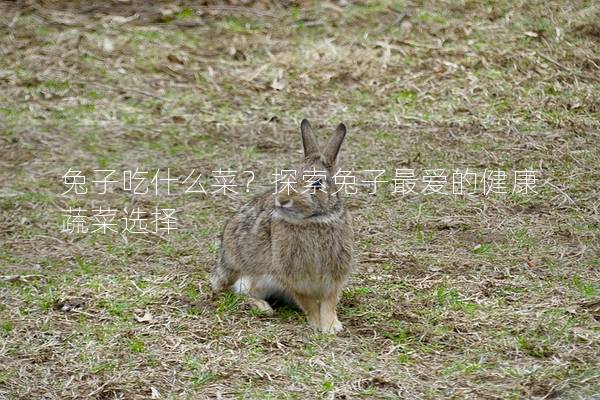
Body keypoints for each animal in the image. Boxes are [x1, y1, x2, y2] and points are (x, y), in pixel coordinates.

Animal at [211, 119, 354, 334]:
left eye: (317, 183)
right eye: (288, 176)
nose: (283, 200)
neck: (313, 221)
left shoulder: (334, 272)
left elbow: (329, 301)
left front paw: (331, 326)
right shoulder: (291, 274)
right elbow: (308, 302)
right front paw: (317, 324)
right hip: (251, 277)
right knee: (239, 291)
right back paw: (262, 307)